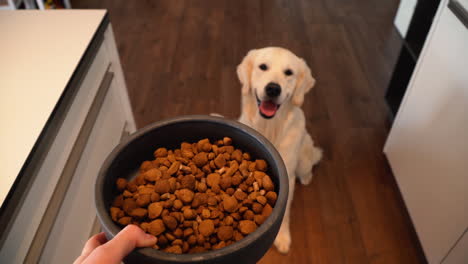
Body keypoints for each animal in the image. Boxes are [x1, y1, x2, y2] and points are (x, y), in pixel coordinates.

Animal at [238, 47, 322, 254]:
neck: (270, 127)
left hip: (304, 156)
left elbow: (284, 213)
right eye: (263, 67)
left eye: (289, 73)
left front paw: (282, 237)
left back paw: (306, 178)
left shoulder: (288, 177)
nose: (273, 88)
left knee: (308, 167)